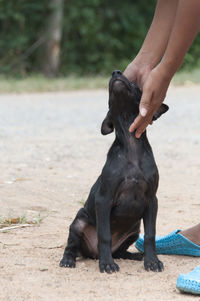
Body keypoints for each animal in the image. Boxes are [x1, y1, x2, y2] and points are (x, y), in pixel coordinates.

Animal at [59, 69, 169, 272]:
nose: (117, 72)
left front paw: (152, 261)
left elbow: (150, 235)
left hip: (134, 231)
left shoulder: (152, 200)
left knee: (121, 251)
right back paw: (69, 260)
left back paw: (135, 255)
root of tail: (91, 253)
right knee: (72, 246)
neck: (131, 148)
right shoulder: (104, 199)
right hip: (78, 223)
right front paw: (107, 264)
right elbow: (104, 235)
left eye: (135, 85)